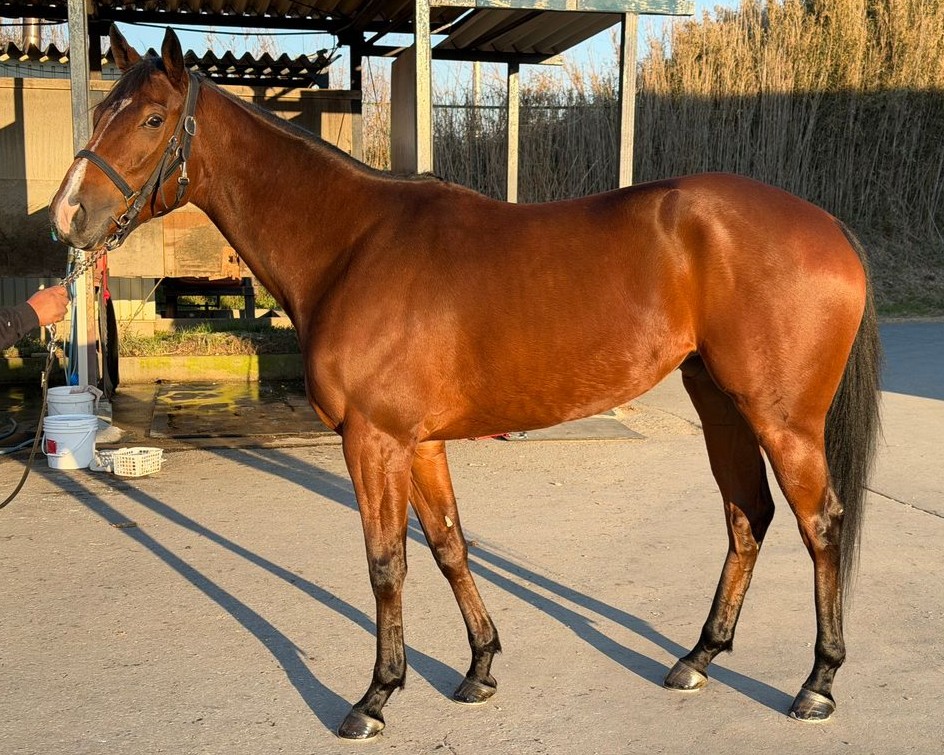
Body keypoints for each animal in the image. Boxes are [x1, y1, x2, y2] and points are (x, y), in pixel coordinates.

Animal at [49, 26, 881, 740]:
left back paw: (818, 683)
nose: (68, 217)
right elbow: (449, 544)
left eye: (152, 118)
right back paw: (698, 657)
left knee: (820, 523)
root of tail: (829, 225)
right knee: (747, 516)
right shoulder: (417, 443)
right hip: (719, 403)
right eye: (103, 110)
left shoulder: (374, 440)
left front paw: (375, 697)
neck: (352, 245)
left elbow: (386, 563)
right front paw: (479, 667)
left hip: (782, 418)